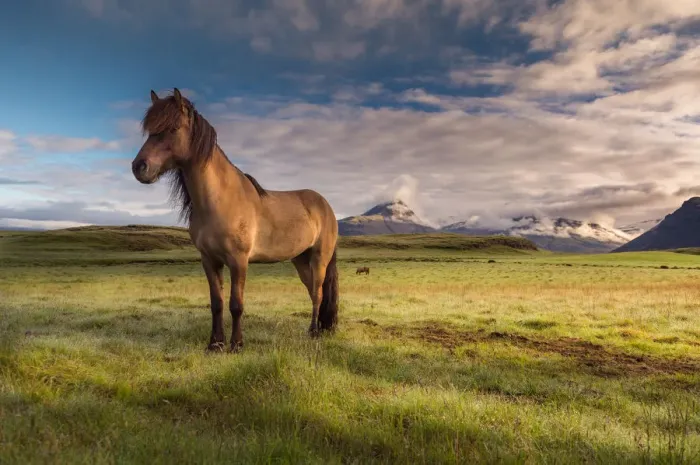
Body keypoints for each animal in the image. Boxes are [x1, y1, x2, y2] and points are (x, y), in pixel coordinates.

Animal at [131, 88, 339, 353]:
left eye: (174, 128)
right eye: (150, 129)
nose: (139, 167)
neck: (220, 200)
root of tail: (325, 205)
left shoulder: (239, 261)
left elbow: (236, 304)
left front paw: (236, 344)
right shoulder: (209, 261)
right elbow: (217, 303)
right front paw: (215, 343)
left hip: (319, 259)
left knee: (318, 293)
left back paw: (314, 332)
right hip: (300, 260)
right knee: (312, 291)